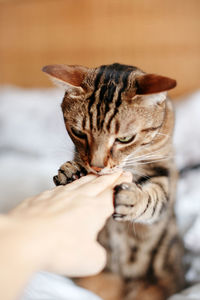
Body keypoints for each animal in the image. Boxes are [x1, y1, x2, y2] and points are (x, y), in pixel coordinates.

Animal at [43, 63, 185, 300]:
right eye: (78, 132)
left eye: (125, 138)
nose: (97, 167)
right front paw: (71, 172)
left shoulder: (164, 172)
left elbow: (155, 198)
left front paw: (133, 199)